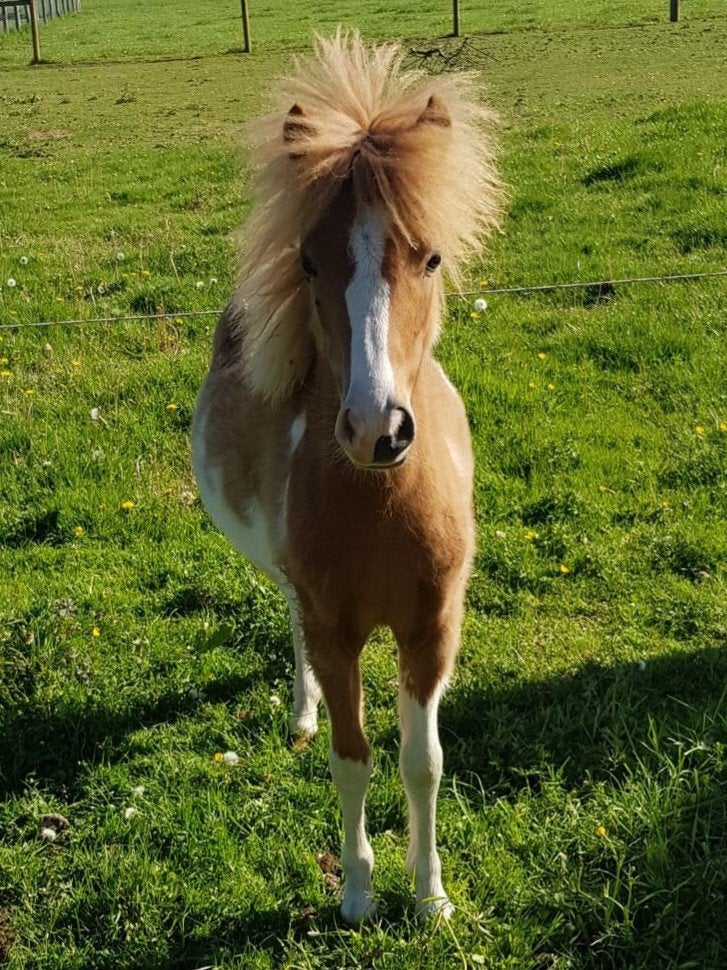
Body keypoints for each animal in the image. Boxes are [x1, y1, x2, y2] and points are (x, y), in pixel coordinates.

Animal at [192, 31, 502, 923]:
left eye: (430, 258)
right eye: (306, 261)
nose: (376, 430)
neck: (382, 512)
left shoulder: (430, 630)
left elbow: (420, 760)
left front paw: (429, 896)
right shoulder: (335, 631)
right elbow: (351, 756)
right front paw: (360, 892)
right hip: (286, 579)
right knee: (292, 632)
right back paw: (297, 716)